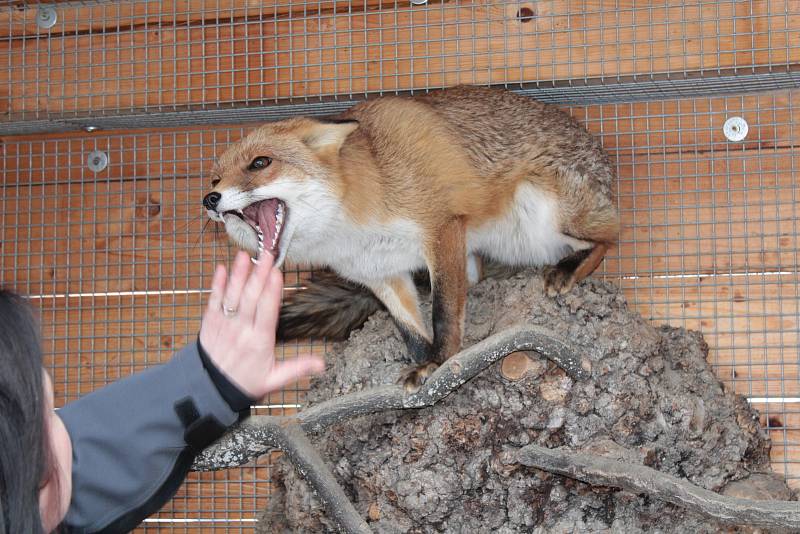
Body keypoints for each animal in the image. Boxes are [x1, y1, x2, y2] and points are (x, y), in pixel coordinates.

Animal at [202, 86, 620, 392]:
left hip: (544, 215)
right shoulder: (379, 272)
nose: (209, 199)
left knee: (609, 236)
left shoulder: (441, 228)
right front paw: (422, 361)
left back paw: (569, 268)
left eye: (260, 163)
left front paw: (440, 361)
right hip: (484, 250)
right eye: (215, 178)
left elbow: (444, 313)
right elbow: (411, 330)